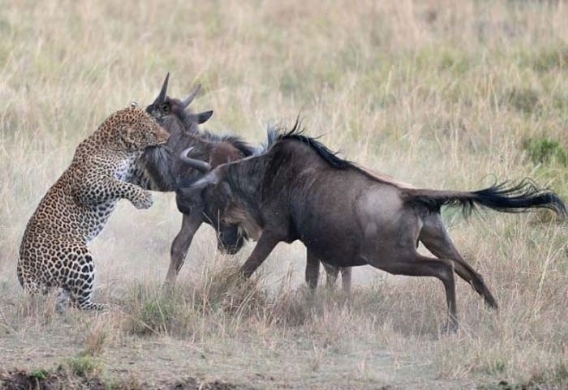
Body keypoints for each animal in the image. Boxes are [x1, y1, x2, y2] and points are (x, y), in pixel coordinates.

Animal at [17, 104, 171, 310]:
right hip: (78, 252)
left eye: (156, 123)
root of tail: (24, 273)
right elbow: (117, 185)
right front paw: (142, 198)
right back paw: (106, 307)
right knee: (78, 303)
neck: (119, 148)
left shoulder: (135, 174)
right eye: (151, 132)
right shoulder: (87, 185)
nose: (168, 137)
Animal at [179, 125, 568, 332]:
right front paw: (312, 308)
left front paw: (220, 294)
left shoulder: (276, 233)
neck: (265, 173)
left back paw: (453, 325)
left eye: (211, 195)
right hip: (437, 239)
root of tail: (414, 195)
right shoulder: (312, 244)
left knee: (444, 271)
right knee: (471, 272)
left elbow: (247, 269)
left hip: (393, 258)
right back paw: (494, 313)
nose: (226, 245)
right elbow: (313, 279)